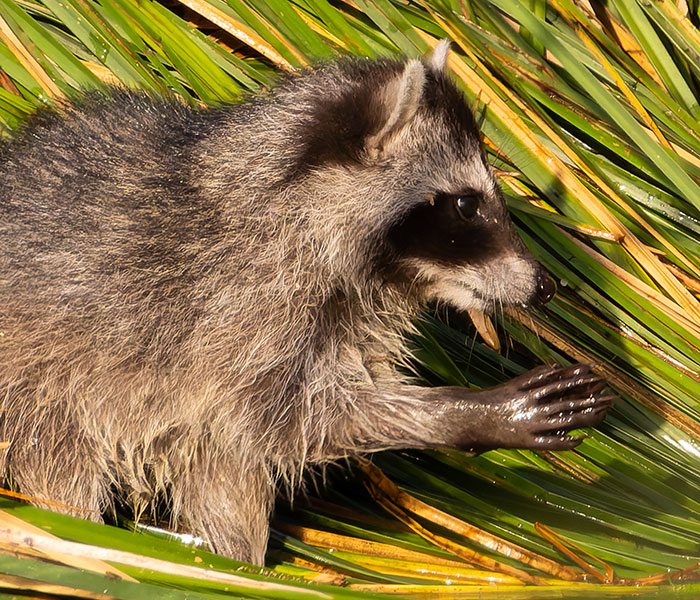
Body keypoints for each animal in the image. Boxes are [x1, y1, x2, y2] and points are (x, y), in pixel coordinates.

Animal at [0, 42, 610, 564]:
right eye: (466, 204)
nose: (545, 286)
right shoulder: (237, 308)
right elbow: (292, 421)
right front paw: (459, 413)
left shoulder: (337, 312)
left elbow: (251, 443)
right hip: (43, 385)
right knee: (66, 470)